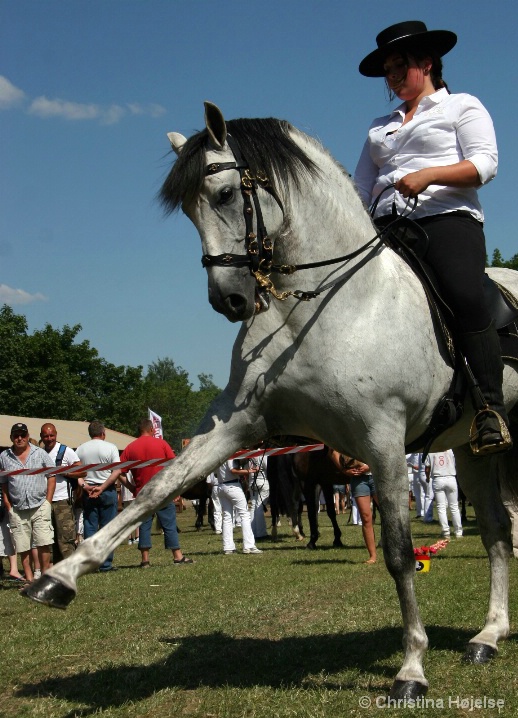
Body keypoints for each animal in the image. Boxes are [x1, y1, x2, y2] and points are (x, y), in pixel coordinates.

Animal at [24, 104, 518, 700]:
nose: (229, 300)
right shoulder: (237, 424)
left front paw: (411, 668)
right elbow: (156, 490)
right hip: (472, 450)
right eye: (188, 208)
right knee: (497, 529)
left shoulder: (383, 439)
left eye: (224, 194)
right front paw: (59, 576)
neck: (327, 306)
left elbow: (400, 554)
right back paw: (488, 636)